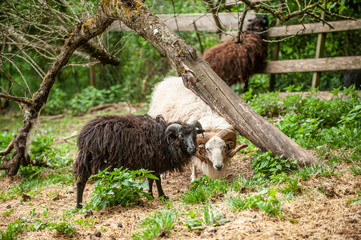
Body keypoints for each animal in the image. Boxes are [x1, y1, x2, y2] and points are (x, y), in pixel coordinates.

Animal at [74, 114, 202, 208]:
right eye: (180, 136)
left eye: (195, 134)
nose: (193, 148)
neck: (166, 140)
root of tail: (84, 136)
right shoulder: (155, 162)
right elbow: (157, 180)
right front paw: (162, 196)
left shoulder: (151, 164)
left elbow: (151, 180)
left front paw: (150, 195)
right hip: (96, 161)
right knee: (82, 181)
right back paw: (79, 206)